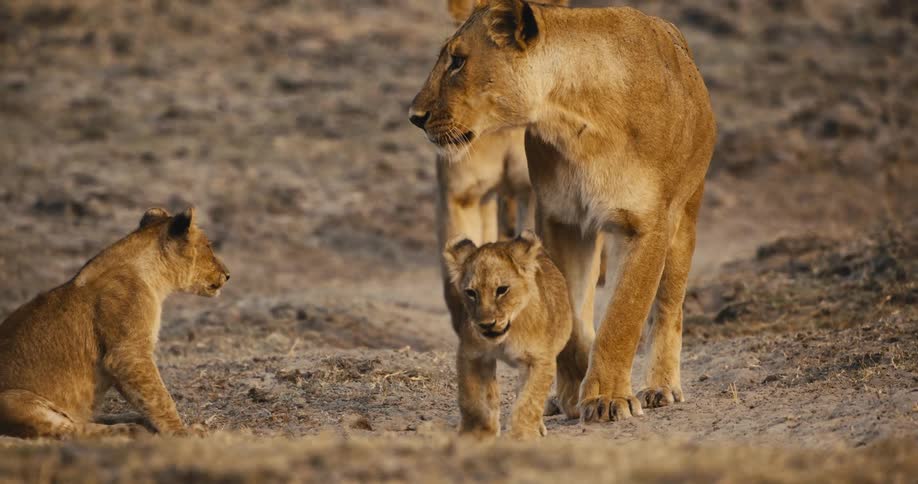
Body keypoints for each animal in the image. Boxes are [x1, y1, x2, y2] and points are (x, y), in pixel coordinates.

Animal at [0, 207, 230, 438]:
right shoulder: (128, 354)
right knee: (70, 429)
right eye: (208, 246)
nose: (228, 275)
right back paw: (127, 428)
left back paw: (128, 418)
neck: (153, 276)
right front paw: (183, 432)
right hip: (12, 400)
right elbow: (160, 399)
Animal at [444, 230, 574, 439]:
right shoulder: (471, 354)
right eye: (471, 292)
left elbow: (530, 400)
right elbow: (473, 399)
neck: (507, 336)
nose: (487, 325)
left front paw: (522, 434)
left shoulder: (541, 360)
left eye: (502, 290)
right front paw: (476, 433)